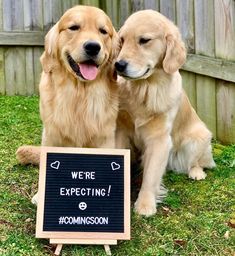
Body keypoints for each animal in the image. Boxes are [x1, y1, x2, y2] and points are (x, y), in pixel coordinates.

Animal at [114, 11, 216, 217]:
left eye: (144, 40)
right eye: (122, 39)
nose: (119, 65)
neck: (145, 88)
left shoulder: (159, 139)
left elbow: (150, 175)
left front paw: (145, 205)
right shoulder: (120, 129)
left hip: (198, 138)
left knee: (198, 161)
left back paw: (196, 172)